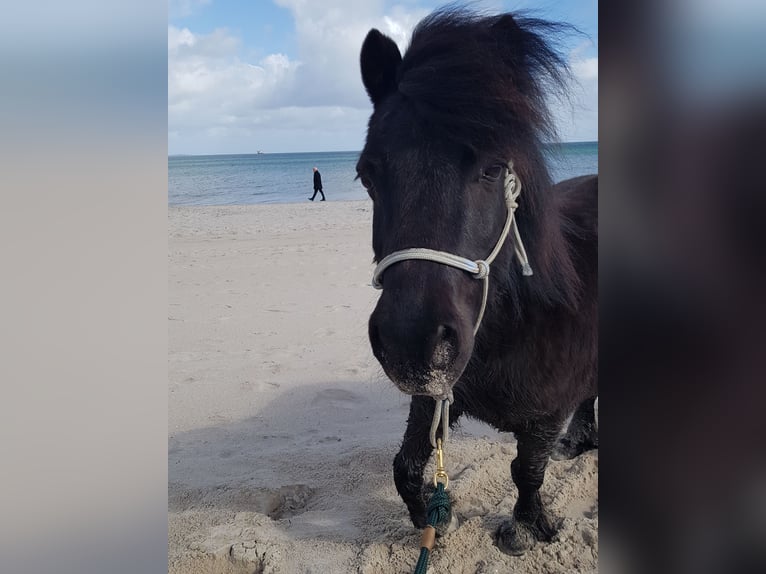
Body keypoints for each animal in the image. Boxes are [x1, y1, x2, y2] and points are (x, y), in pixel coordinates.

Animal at [357, 8, 598, 555]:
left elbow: (527, 471)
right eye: (366, 175)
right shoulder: (433, 396)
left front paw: (527, 528)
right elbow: (406, 466)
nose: (411, 344)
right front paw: (434, 515)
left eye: (492, 169)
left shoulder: (545, 415)